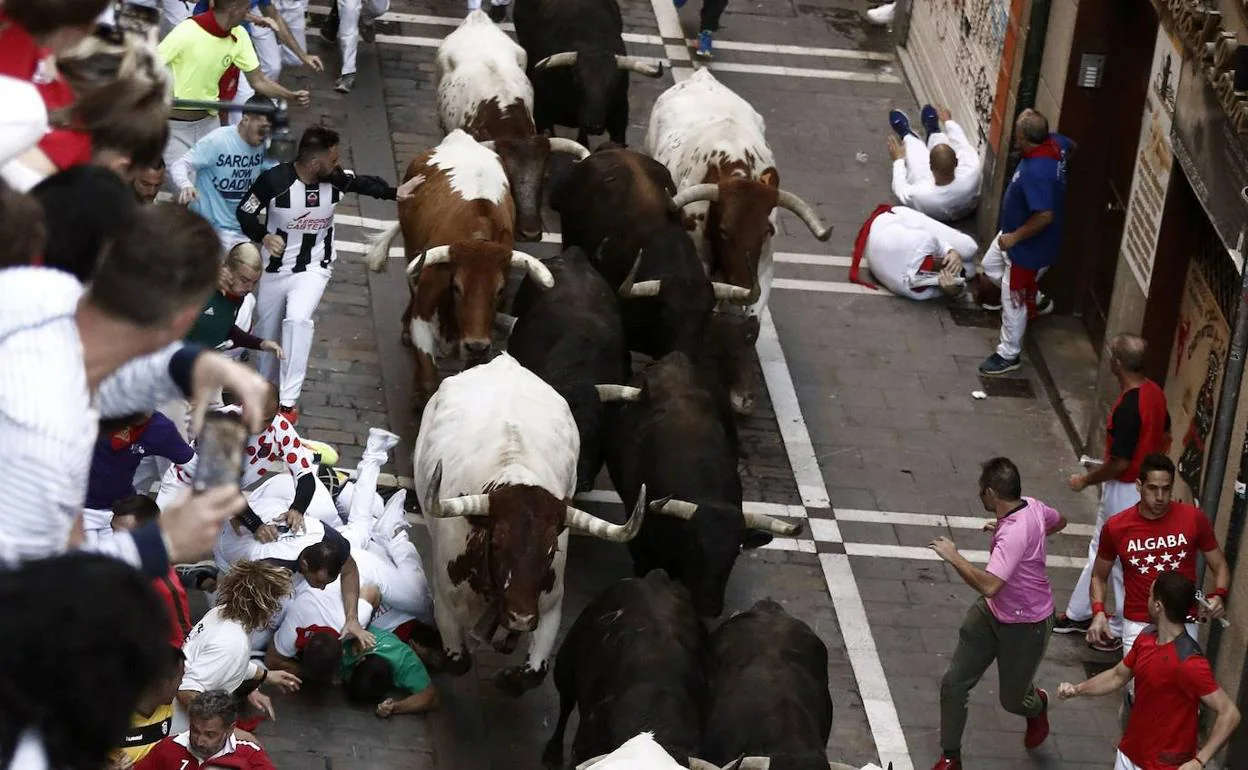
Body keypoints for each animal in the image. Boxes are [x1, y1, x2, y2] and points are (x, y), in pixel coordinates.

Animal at [364, 130, 554, 409]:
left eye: (500, 291)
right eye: (456, 287)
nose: (476, 346)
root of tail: (461, 137)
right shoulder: (423, 317)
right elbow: (428, 378)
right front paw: (419, 396)